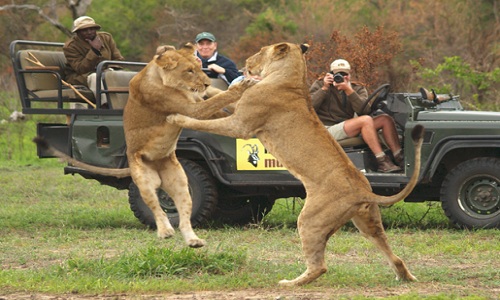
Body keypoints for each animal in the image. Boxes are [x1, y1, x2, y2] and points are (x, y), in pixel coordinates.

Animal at [34, 42, 254, 248]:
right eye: (189, 70)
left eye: (199, 67)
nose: (207, 82)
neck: (163, 79)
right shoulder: (191, 108)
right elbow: (219, 99)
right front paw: (242, 87)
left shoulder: (197, 99)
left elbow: (219, 100)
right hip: (145, 182)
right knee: (157, 208)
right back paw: (165, 231)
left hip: (181, 184)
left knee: (184, 217)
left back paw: (193, 240)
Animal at [166, 41, 424, 284]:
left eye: (261, 50)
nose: (245, 63)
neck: (289, 77)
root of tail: (363, 190)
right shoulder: (238, 115)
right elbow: (213, 97)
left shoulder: (240, 124)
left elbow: (204, 121)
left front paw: (177, 117)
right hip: (368, 223)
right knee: (394, 255)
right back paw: (406, 277)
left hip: (311, 220)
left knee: (319, 266)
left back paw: (290, 283)